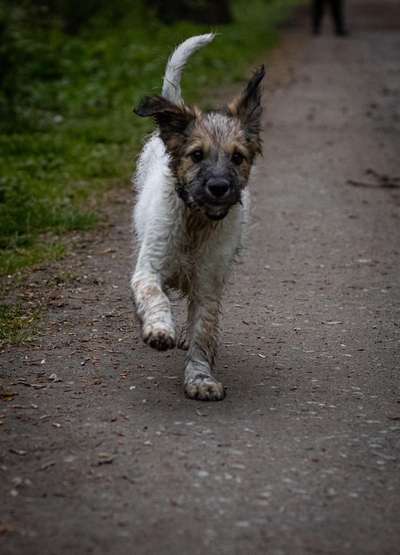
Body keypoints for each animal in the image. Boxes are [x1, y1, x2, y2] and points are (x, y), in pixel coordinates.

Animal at [131, 33, 266, 400]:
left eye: (238, 157)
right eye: (196, 155)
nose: (219, 187)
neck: (196, 220)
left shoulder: (208, 282)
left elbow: (203, 331)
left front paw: (200, 378)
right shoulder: (148, 268)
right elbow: (154, 295)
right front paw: (159, 329)